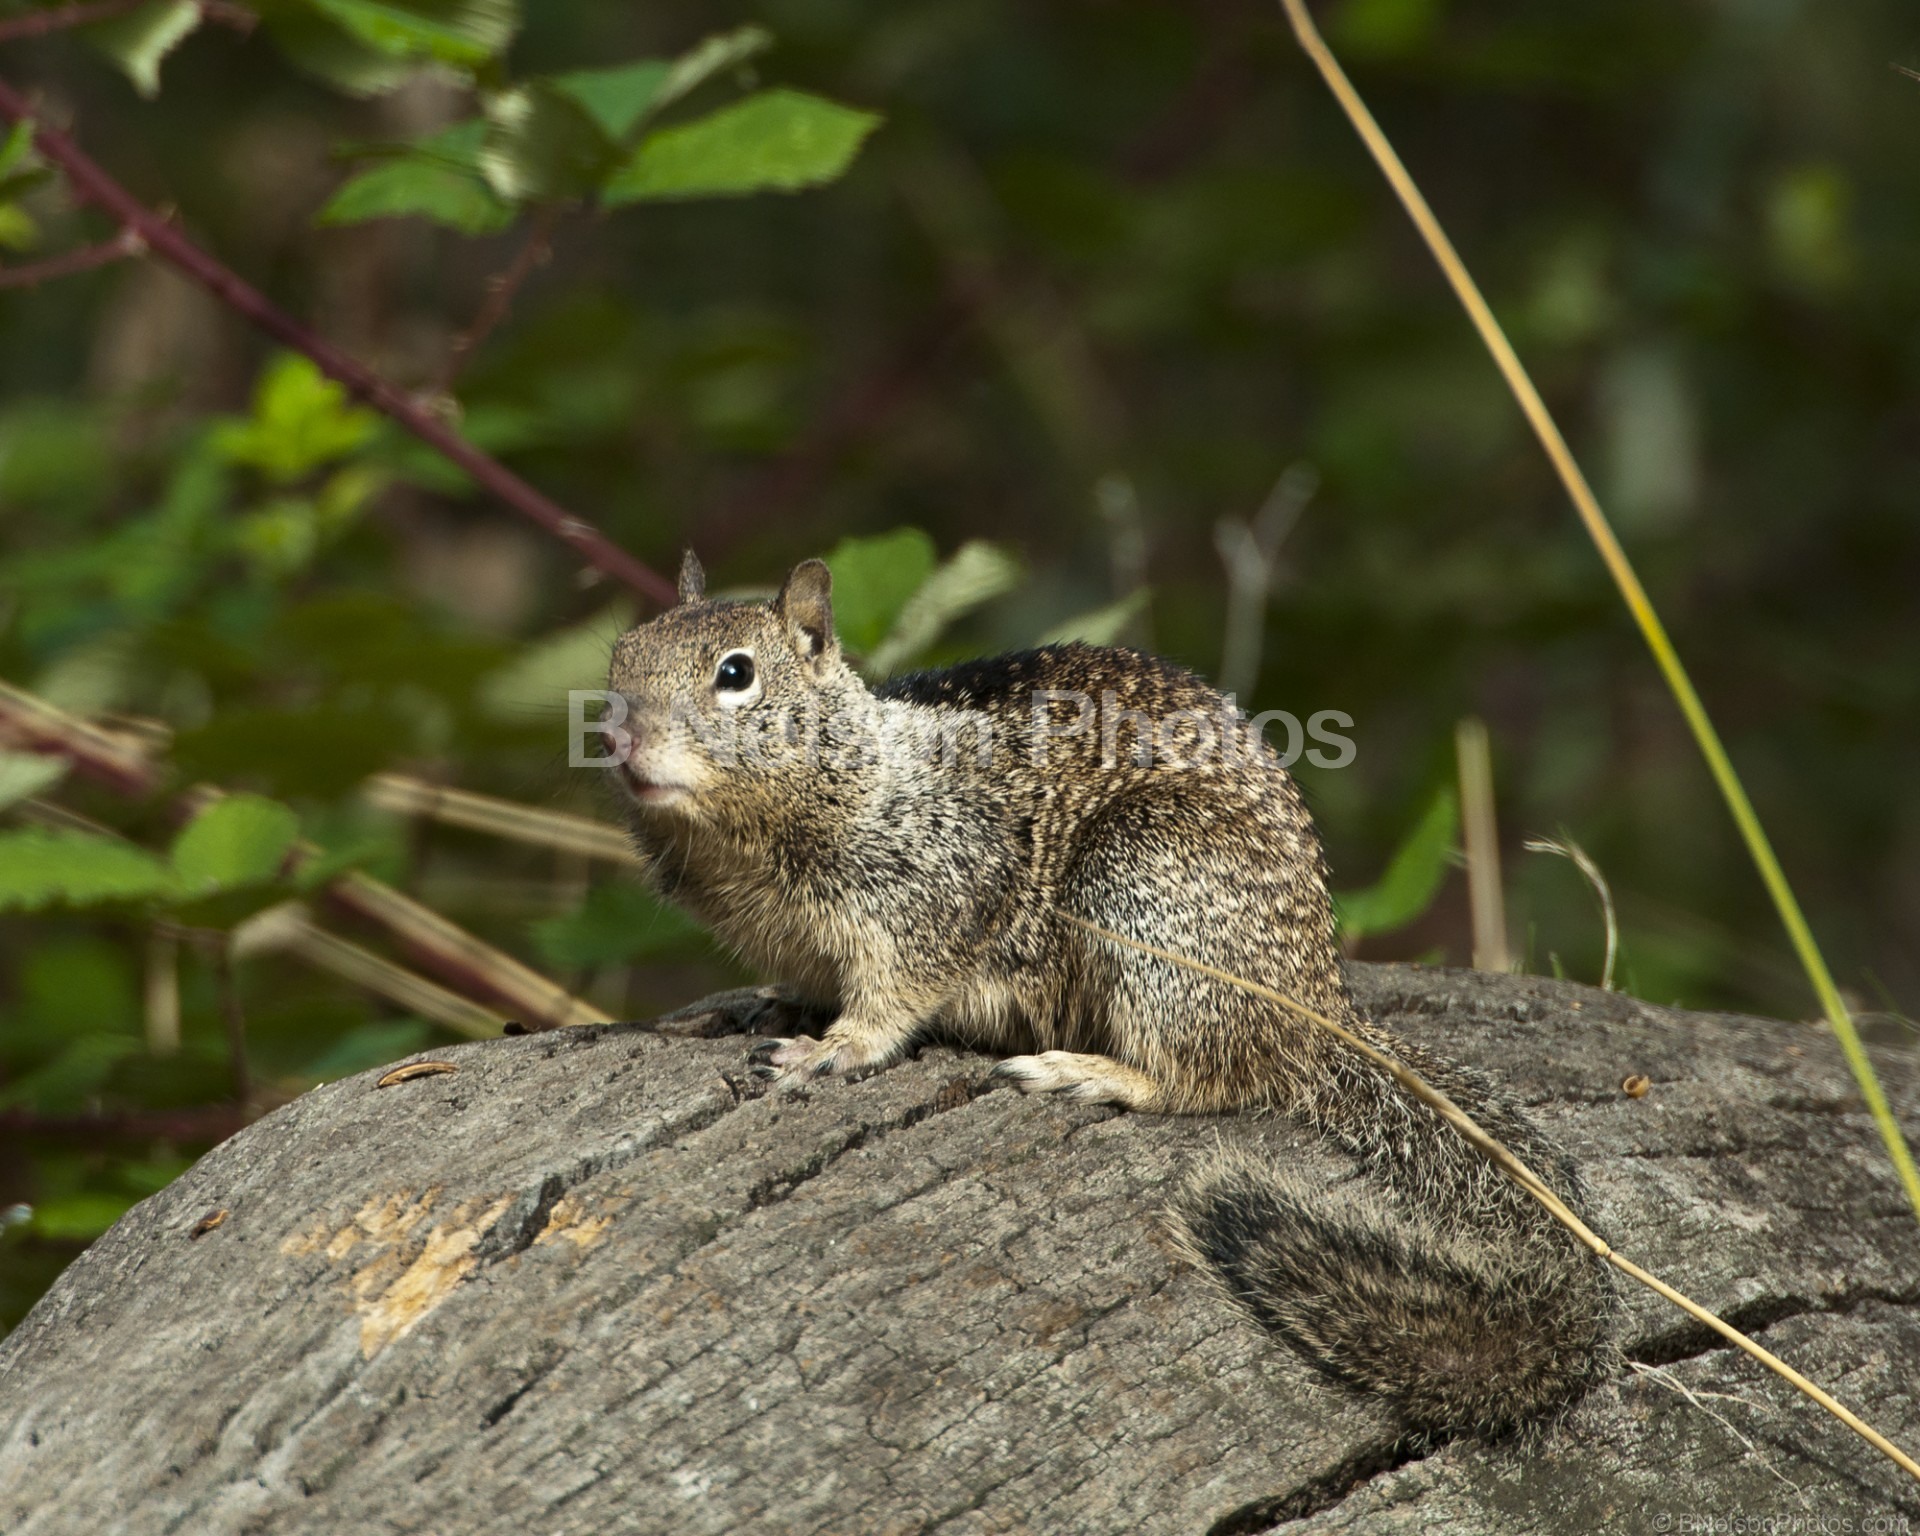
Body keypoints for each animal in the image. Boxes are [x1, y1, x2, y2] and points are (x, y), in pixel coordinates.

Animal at [606, 552, 1612, 1443]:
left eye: (735, 674)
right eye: (621, 655)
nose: (619, 739)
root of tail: (1315, 1008)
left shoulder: (934, 893)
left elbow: (894, 999)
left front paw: (830, 1049)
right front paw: (760, 1007)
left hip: (1144, 891)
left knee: (1204, 1078)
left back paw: (1092, 1073)